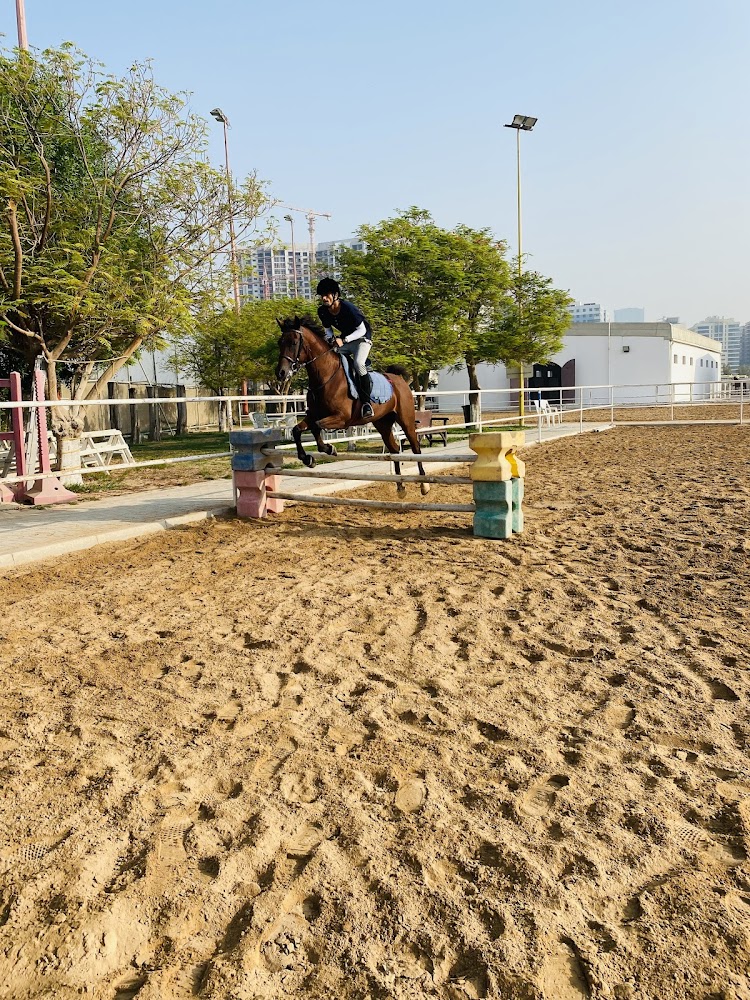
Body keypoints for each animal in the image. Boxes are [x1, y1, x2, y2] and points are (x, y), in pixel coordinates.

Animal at [275, 316, 429, 496]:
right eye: (280, 342)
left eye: (293, 343)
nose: (281, 373)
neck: (325, 377)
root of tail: (398, 379)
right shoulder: (314, 415)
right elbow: (297, 430)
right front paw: (308, 459)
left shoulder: (341, 419)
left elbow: (316, 427)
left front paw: (328, 448)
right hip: (383, 423)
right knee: (394, 449)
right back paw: (400, 487)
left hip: (406, 420)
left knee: (416, 448)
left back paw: (424, 485)